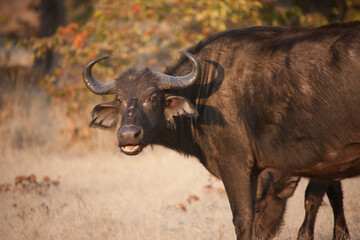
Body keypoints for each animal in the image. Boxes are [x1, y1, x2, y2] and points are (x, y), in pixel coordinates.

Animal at [83, 21, 360, 239]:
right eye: (120, 99)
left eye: (152, 97)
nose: (128, 135)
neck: (202, 92)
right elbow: (333, 198)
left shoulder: (236, 165)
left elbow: (243, 218)